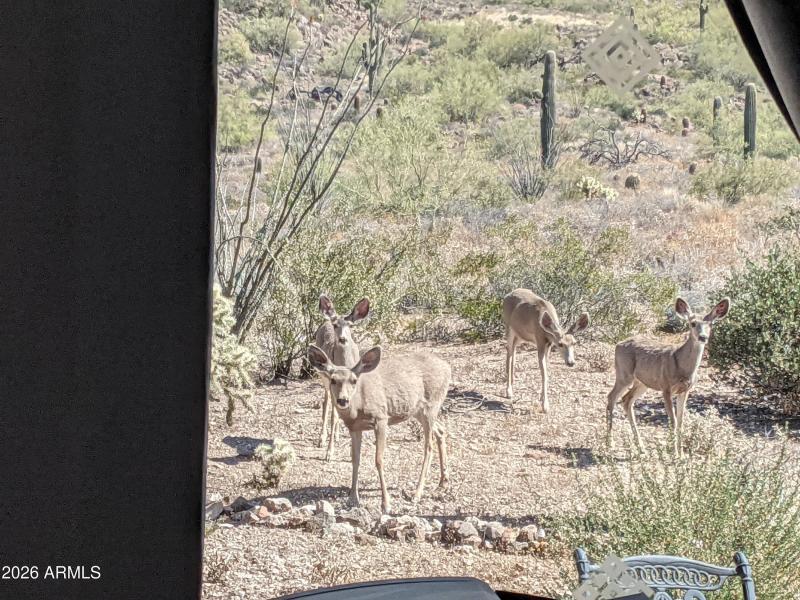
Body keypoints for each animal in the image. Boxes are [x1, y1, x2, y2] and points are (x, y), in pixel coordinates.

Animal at [307, 344, 450, 514]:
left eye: (354, 380)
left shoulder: (381, 419)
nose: (343, 400)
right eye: (333, 380)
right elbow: (355, 460)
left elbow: (378, 460)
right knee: (441, 430)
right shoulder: (354, 428)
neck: (358, 407)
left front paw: (386, 504)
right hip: (418, 411)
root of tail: (447, 367)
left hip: (431, 405)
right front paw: (352, 499)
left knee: (428, 447)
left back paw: (417, 494)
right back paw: (443, 481)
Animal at [313, 295, 370, 462]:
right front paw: (329, 453)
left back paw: (337, 436)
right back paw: (322, 438)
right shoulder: (333, 382)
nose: (343, 339)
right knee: (326, 403)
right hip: (324, 379)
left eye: (350, 325)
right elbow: (333, 414)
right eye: (335, 325)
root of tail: (325, 319)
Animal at [606, 297, 731, 457]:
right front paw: (674, 454)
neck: (683, 368)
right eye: (693, 323)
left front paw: (681, 455)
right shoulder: (666, 387)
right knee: (611, 397)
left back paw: (640, 447)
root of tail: (618, 344)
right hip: (624, 374)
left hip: (642, 382)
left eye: (710, 324)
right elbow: (673, 421)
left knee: (626, 400)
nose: (703, 337)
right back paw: (610, 443)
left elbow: (681, 421)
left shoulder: (685, 391)